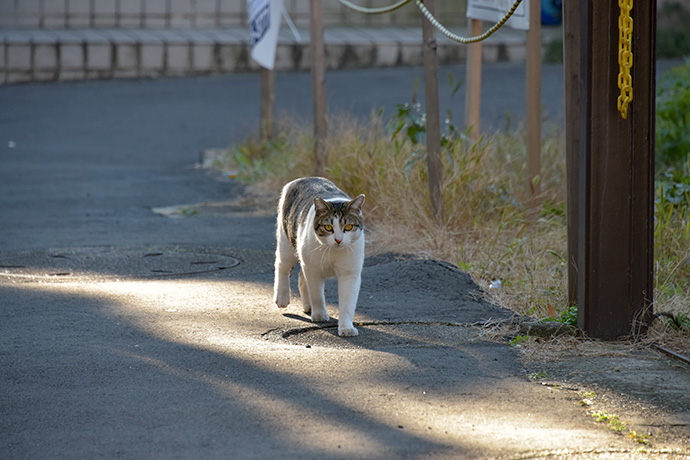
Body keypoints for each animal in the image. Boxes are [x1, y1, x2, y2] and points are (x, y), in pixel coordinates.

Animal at [272, 176, 366, 338]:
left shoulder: (350, 273)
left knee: (301, 277)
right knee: (281, 266)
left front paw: (346, 327)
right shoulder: (313, 269)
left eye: (348, 227)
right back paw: (282, 297)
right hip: (287, 243)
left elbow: (348, 302)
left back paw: (308, 306)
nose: (338, 240)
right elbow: (317, 294)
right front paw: (320, 314)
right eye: (328, 227)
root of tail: (302, 178)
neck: (332, 252)